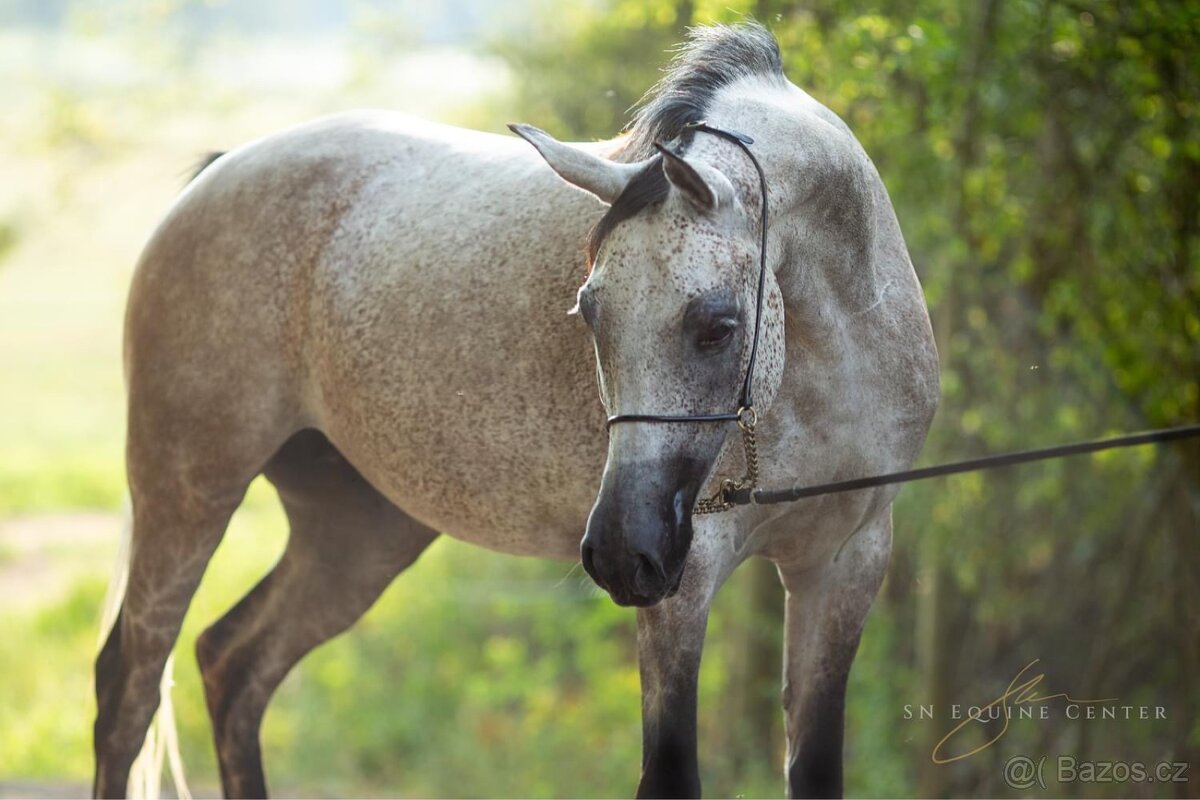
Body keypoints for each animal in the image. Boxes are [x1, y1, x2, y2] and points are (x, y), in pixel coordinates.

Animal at [93, 21, 936, 796]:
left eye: (717, 324)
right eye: (588, 312)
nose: (622, 551)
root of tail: (218, 175)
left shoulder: (845, 564)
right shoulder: (686, 584)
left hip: (356, 538)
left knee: (233, 666)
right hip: (188, 494)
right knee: (126, 689)